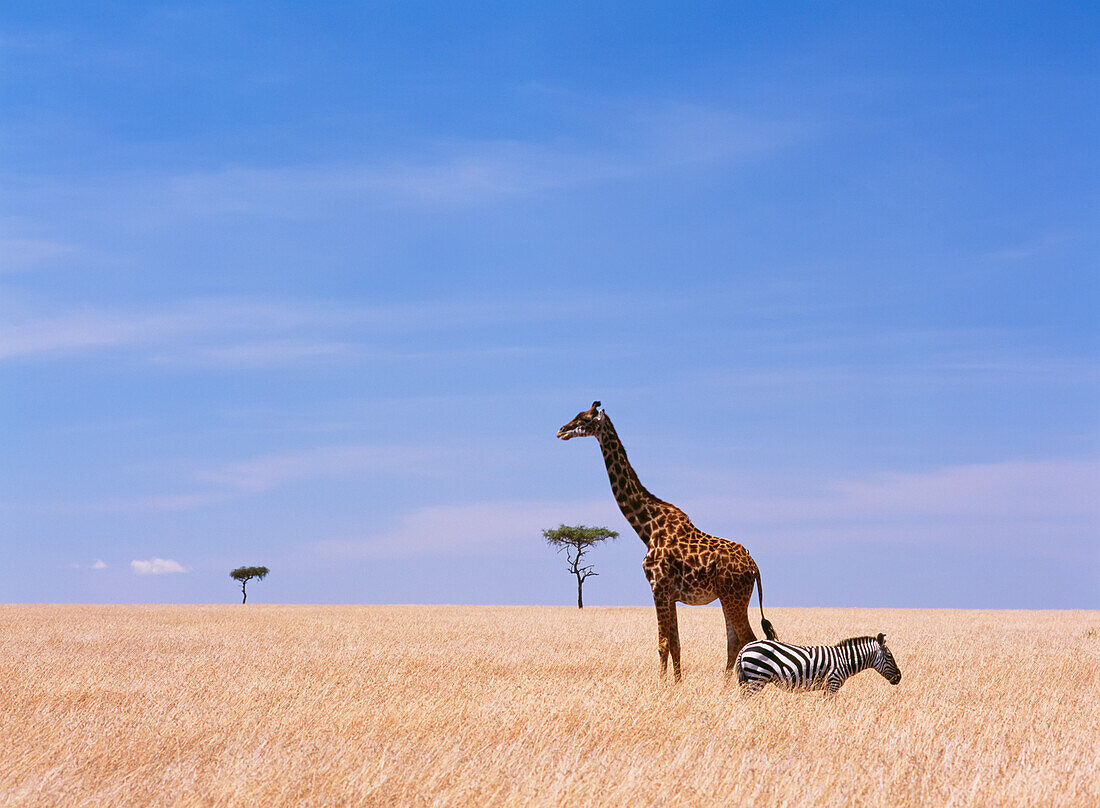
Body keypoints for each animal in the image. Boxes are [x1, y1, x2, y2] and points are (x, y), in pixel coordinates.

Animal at [554, 402, 778, 681]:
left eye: (584, 418)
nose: (561, 431)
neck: (648, 527)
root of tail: (754, 566)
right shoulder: (670, 594)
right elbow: (675, 644)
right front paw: (676, 683)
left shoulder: (657, 586)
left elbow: (662, 643)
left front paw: (660, 684)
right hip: (729, 596)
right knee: (734, 640)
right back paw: (725, 685)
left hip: (734, 595)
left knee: (747, 639)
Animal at [739, 633, 902, 694]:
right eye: (889, 656)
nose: (899, 677)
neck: (845, 660)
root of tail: (745, 648)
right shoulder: (833, 683)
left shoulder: (828, 686)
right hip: (758, 677)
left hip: (749, 679)